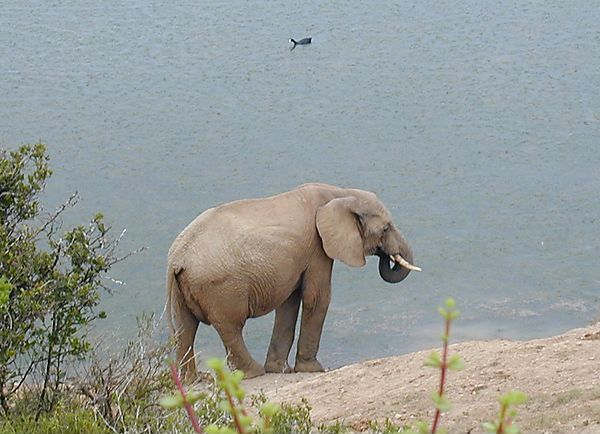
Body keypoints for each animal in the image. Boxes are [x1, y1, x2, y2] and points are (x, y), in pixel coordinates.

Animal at [163, 183, 418, 380]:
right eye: (385, 228)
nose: (388, 255)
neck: (340, 193)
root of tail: (176, 258)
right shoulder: (317, 247)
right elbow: (317, 297)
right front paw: (313, 369)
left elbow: (289, 302)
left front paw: (279, 370)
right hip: (221, 287)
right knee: (230, 327)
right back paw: (254, 373)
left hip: (185, 288)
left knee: (186, 328)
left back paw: (195, 380)